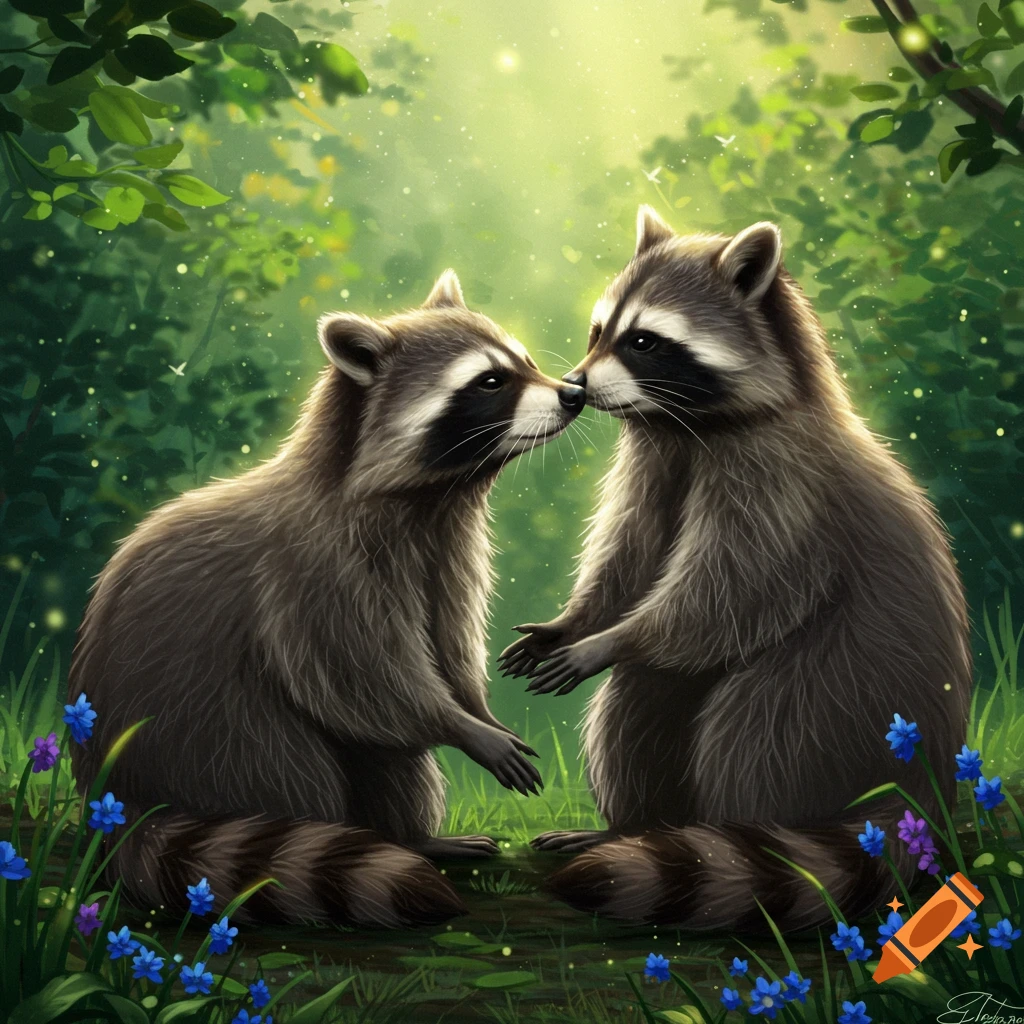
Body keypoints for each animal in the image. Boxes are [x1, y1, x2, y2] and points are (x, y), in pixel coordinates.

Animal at [69, 271, 586, 929]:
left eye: (525, 362)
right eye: (491, 381)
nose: (573, 394)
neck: (434, 496)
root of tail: (113, 794)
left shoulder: (449, 549)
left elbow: (444, 646)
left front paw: (475, 707)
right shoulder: (310, 569)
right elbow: (359, 676)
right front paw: (464, 727)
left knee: (391, 761)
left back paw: (413, 836)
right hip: (205, 726)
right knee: (289, 765)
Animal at [499, 208, 971, 932]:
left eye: (644, 341)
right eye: (598, 331)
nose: (575, 386)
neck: (687, 422)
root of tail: (928, 783)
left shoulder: (782, 484)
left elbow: (730, 591)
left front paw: (609, 639)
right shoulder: (658, 458)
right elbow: (630, 557)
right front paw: (576, 622)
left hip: (842, 692)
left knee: (756, 729)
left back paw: (750, 836)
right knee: (636, 704)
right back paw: (634, 827)